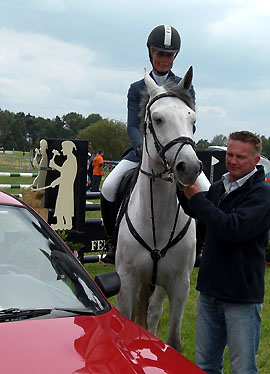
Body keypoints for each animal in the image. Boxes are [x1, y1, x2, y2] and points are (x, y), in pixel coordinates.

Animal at [115, 65, 202, 352]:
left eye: (192, 120)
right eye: (157, 119)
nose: (190, 168)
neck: (158, 219)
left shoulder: (180, 285)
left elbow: (173, 340)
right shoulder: (127, 280)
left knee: (153, 314)